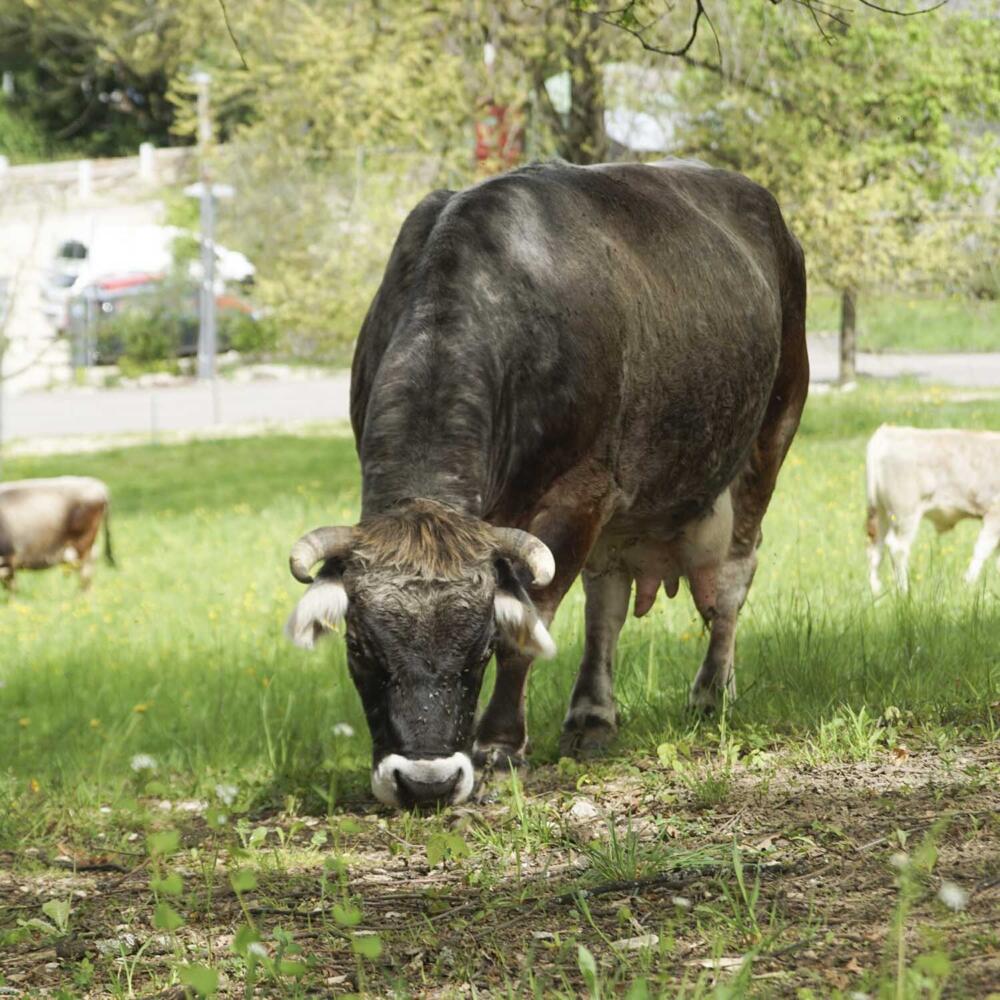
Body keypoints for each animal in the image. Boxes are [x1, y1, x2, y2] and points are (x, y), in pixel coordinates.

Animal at [284, 160, 809, 809]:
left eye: (481, 645)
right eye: (358, 645)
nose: (427, 784)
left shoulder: (577, 494)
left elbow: (530, 623)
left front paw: (499, 745)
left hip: (771, 431)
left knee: (733, 579)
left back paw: (712, 691)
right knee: (607, 602)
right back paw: (593, 715)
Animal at [866, 424, 1000, 594]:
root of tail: (889, 430)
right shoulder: (994, 513)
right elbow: (982, 550)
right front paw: (967, 585)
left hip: (881, 512)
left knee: (876, 547)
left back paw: (876, 591)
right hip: (905, 513)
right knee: (897, 548)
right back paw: (904, 590)